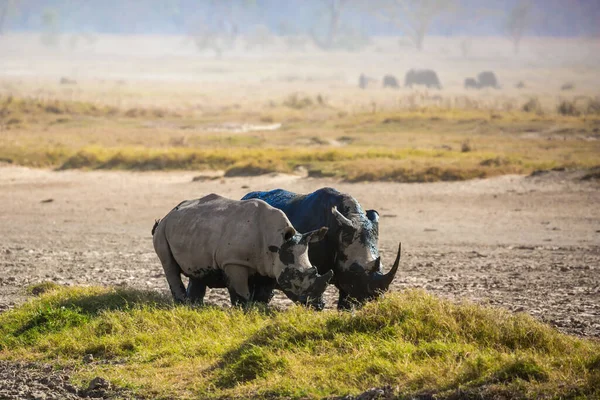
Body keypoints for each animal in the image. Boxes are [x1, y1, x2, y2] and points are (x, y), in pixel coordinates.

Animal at [152, 194, 332, 306]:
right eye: (295, 275)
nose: (319, 305)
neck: (277, 242)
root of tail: (168, 213)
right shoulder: (234, 262)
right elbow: (241, 292)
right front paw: (243, 310)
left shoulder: (269, 265)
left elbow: (262, 293)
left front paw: (259, 310)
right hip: (163, 231)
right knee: (170, 266)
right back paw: (182, 303)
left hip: (191, 229)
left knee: (197, 271)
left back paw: (195, 306)